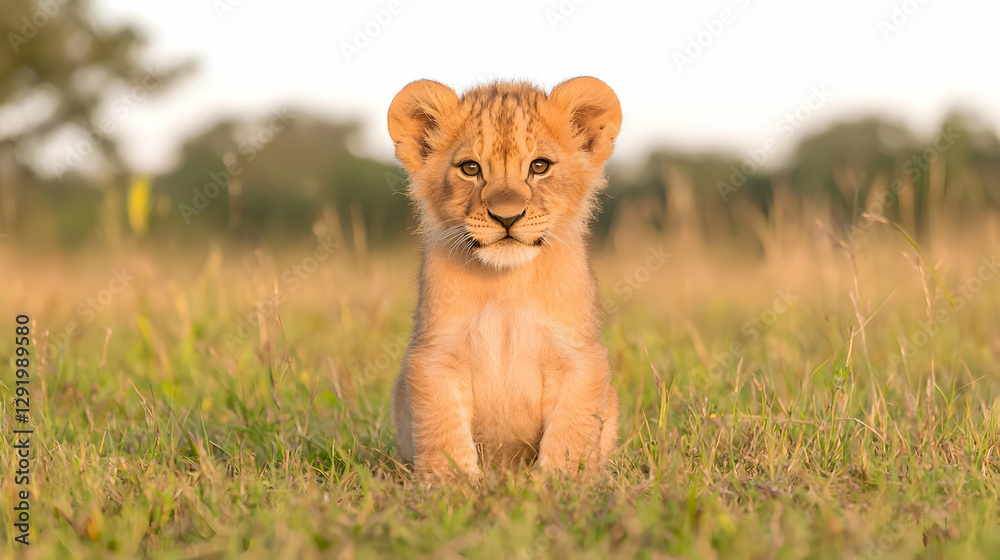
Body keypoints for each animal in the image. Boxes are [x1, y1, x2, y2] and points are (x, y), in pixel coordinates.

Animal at [387, 77, 622, 481]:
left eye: (539, 166)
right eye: (470, 168)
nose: (507, 217)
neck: (506, 283)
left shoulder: (579, 354)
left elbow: (571, 431)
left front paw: (560, 482)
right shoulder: (434, 354)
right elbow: (442, 429)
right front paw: (453, 484)